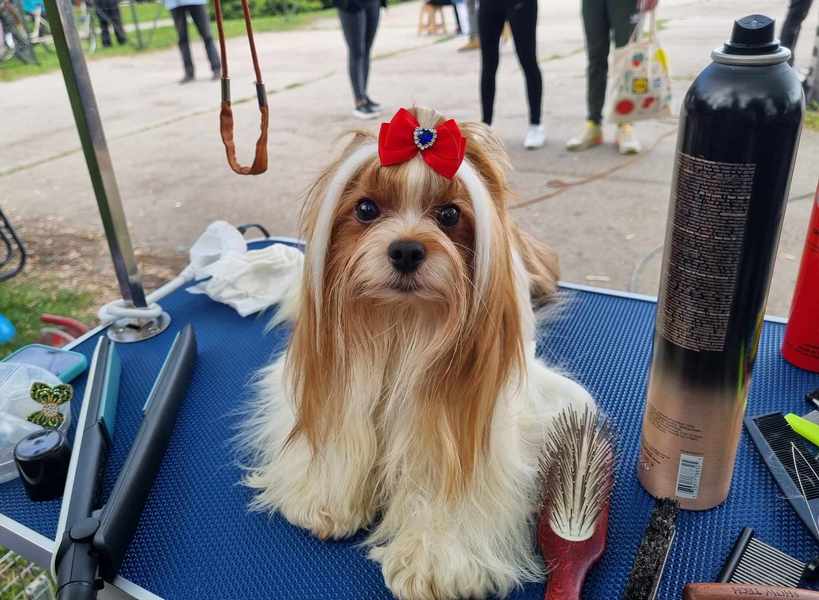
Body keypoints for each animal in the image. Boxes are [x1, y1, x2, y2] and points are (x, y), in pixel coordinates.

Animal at [243, 109, 596, 600]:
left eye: (449, 215)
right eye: (366, 209)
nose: (407, 249)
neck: (404, 322)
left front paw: (437, 558)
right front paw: (325, 497)